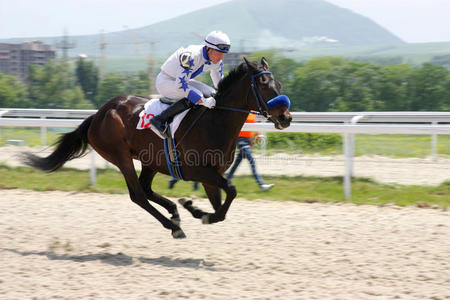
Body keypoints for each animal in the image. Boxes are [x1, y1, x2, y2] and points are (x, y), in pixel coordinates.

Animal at [23, 56, 292, 239]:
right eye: (264, 84)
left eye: (278, 83)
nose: (286, 118)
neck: (215, 121)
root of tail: (98, 114)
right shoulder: (197, 170)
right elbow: (232, 191)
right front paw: (196, 211)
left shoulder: (211, 175)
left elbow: (221, 208)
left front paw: (194, 209)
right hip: (121, 156)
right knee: (138, 195)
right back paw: (173, 226)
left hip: (150, 160)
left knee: (146, 189)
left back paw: (175, 211)